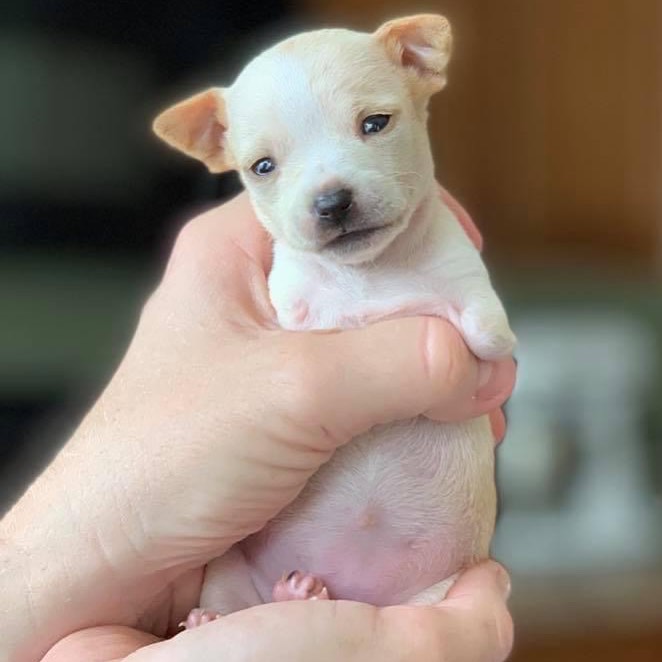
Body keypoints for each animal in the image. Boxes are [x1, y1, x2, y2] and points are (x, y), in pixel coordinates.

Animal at [156, 14, 520, 628]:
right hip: (231, 572)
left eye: (375, 124)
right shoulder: (286, 296)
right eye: (262, 167)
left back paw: (299, 597)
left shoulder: (468, 285)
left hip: (430, 596)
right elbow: (298, 307)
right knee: (238, 602)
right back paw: (224, 616)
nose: (331, 203)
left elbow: (484, 328)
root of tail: (351, 594)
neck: (368, 272)